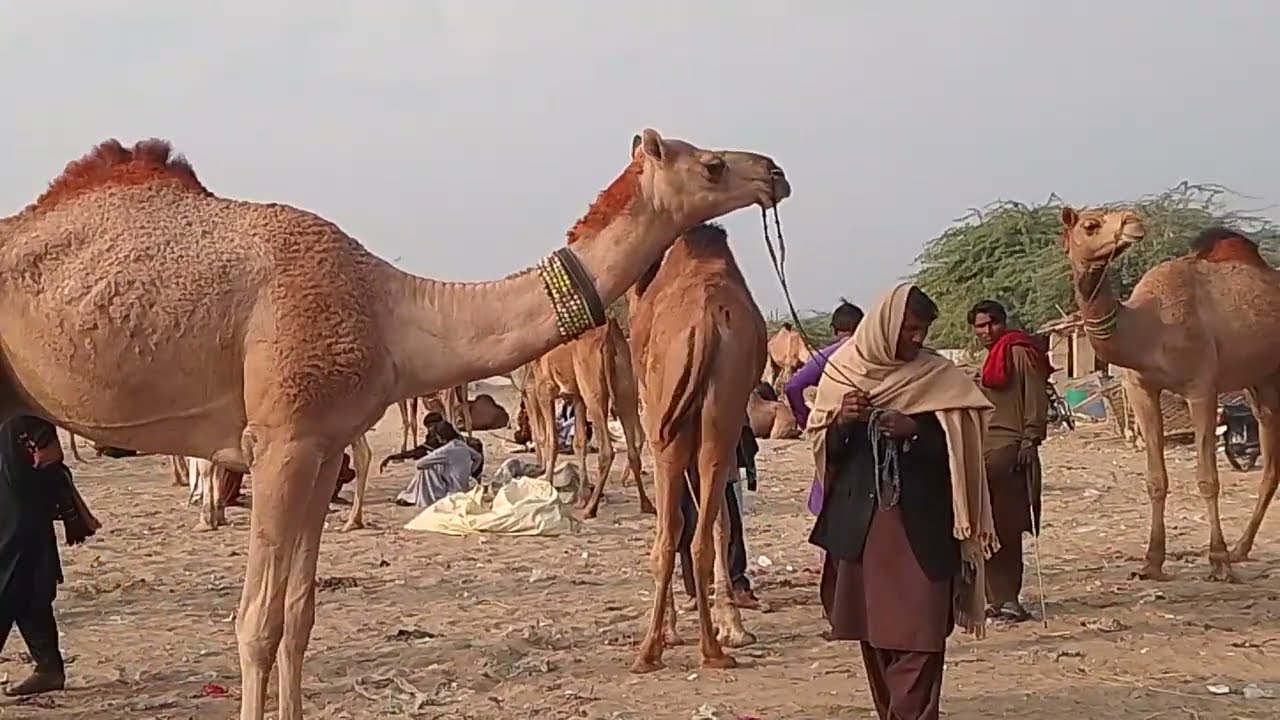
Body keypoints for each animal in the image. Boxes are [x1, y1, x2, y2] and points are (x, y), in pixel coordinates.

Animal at [526, 317, 654, 517]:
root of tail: (609, 335)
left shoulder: (545, 389)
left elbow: (550, 441)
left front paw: (547, 484)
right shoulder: (577, 396)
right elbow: (579, 444)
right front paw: (581, 497)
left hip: (593, 389)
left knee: (608, 450)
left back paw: (591, 509)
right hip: (625, 386)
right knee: (633, 446)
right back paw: (646, 504)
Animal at [627, 222, 764, 673]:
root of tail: (705, 322)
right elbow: (720, 520)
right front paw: (732, 627)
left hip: (678, 423)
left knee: (673, 532)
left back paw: (656, 649)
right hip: (720, 412)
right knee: (701, 529)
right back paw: (709, 648)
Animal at [1060, 207, 1280, 583]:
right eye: (1090, 225)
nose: (1133, 221)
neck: (1147, 328)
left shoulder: (1201, 388)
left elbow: (1208, 479)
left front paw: (1218, 561)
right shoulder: (1141, 389)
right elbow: (1155, 479)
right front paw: (1151, 562)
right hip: (1262, 380)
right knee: (1270, 460)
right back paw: (1241, 549)